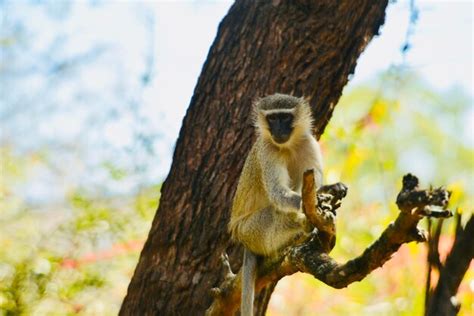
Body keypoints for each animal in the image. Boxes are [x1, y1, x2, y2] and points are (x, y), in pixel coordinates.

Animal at [228, 94, 324, 316]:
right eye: (272, 118)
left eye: (285, 117)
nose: (278, 130)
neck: (288, 146)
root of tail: (243, 240)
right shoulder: (267, 152)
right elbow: (277, 192)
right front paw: (318, 200)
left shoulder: (308, 142)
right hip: (252, 230)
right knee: (276, 214)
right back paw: (303, 225)